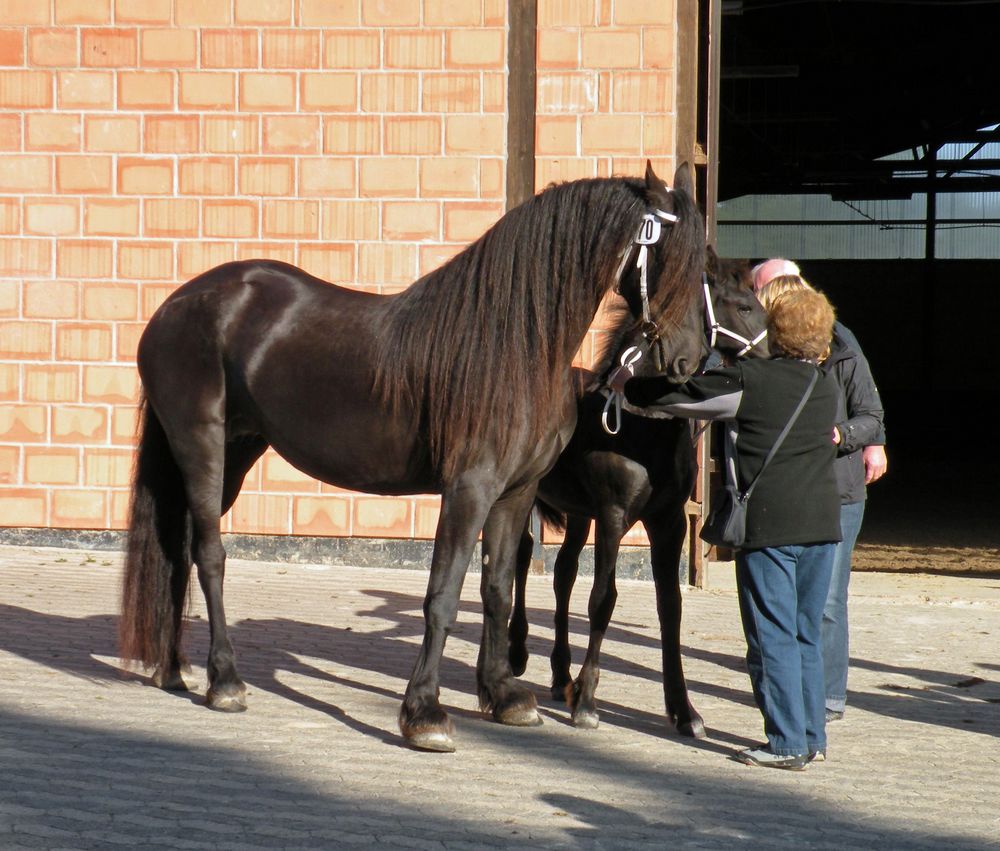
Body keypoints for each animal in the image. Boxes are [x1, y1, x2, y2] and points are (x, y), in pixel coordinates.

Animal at [121, 161, 708, 752]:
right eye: (665, 257)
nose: (689, 361)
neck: (514, 347)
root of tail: (175, 307)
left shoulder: (514, 495)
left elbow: (496, 589)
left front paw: (504, 696)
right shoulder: (469, 489)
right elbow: (443, 595)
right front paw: (424, 713)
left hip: (237, 452)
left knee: (178, 547)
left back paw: (173, 668)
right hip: (201, 445)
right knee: (210, 555)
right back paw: (225, 681)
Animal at [508, 250, 764, 736]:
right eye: (743, 305)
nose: (772, 348)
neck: (641, 422)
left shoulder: (667, 523)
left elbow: (671, 607)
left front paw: (684, 710)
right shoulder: (612, 516)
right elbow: (603, 599)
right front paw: (588, 703)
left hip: (577, 514)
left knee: (563, 573)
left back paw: (560, 675)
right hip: (526, 499)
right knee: (518, 558)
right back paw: (515, 654)